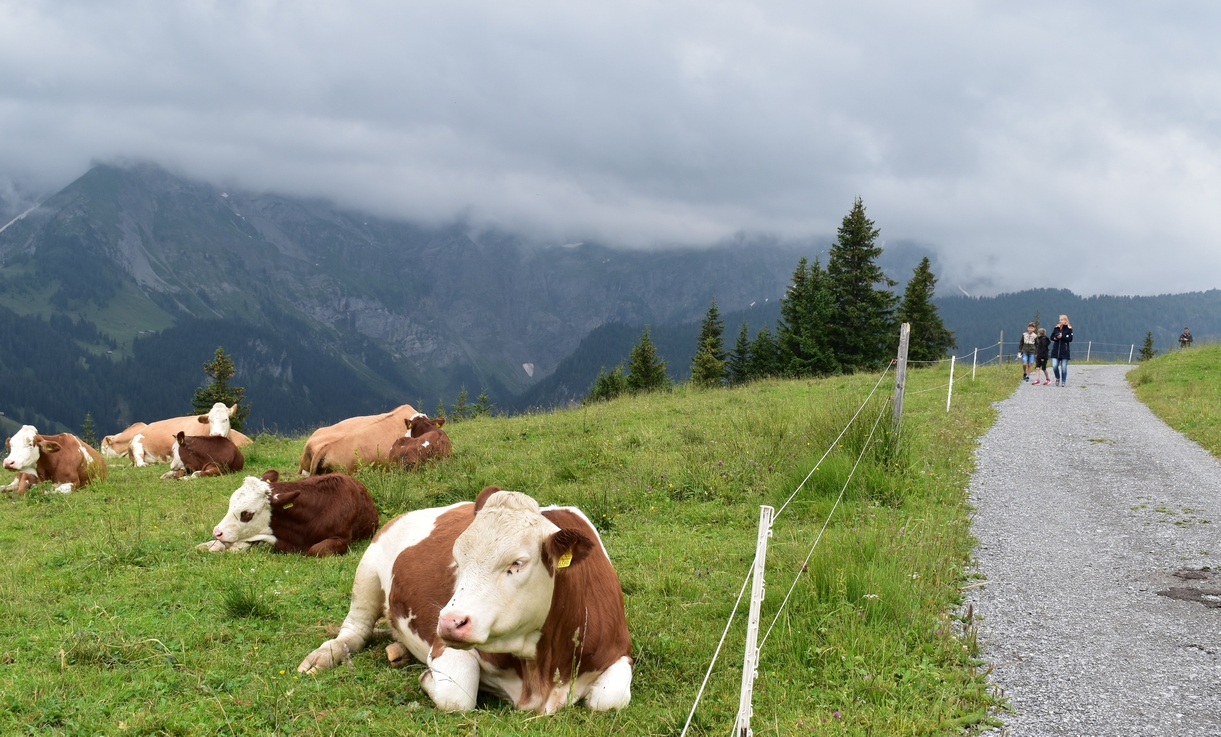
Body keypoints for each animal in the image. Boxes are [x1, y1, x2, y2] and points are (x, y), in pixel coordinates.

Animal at [297, 486, 632, 714]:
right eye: (457, 560)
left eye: (517, 563)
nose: (449, 622)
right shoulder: (445, 647)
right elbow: (457, 696)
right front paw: (427, 678)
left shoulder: (620, 651)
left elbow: (610, 699)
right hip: (367, 572)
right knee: (355, 630)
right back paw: (324, 655)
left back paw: (398, 650)